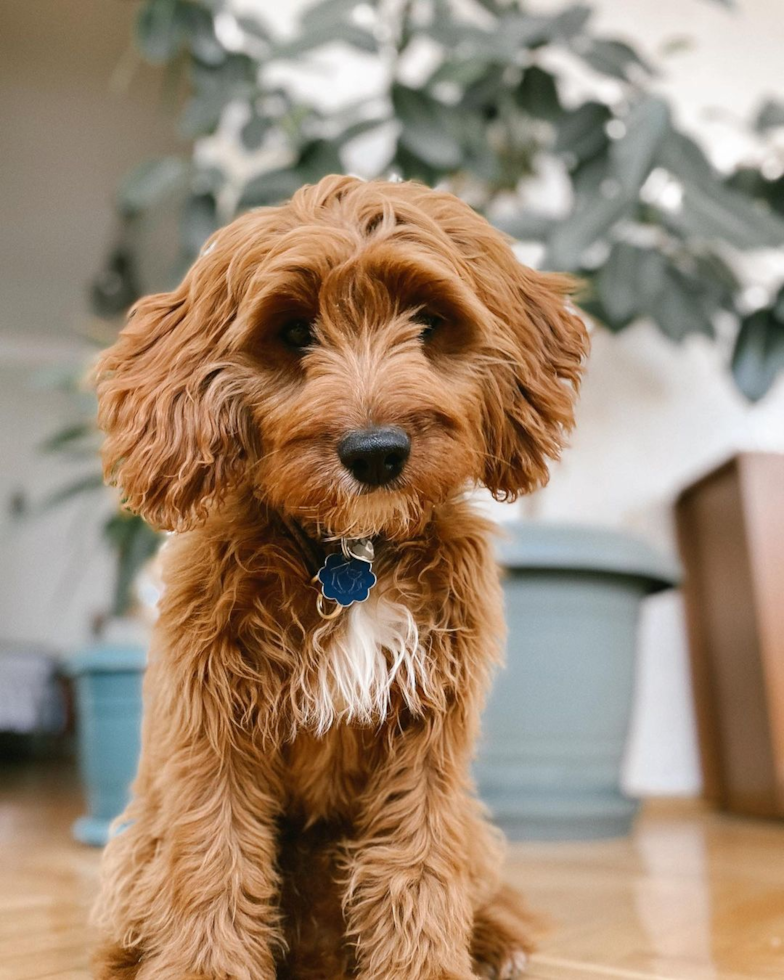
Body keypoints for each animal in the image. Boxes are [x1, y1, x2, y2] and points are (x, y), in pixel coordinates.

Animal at [92, 176, 588, 980]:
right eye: (295, 332)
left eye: (428, 320)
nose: (376, 451)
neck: (351, 550)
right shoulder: (210, 726)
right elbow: (213, 861)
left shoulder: (427, 735)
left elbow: (417, 867)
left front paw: (428, 968)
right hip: (139, 842)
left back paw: (498, 944)